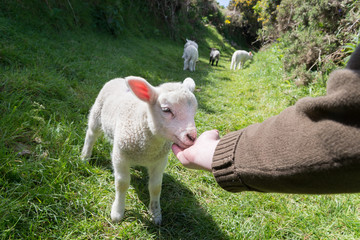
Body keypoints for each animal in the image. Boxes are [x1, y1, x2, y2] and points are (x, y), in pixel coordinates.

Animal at [81, 75, 198, 225]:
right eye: (166, 110)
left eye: (194, 111)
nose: (192, 137)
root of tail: (118, 78)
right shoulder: (120, 156)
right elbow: (122, 184)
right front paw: (117, 212)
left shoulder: (160, 161)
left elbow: (156, 187)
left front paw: (155, 214)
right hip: (97, 113)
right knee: (91, 135)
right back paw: (85, 157)